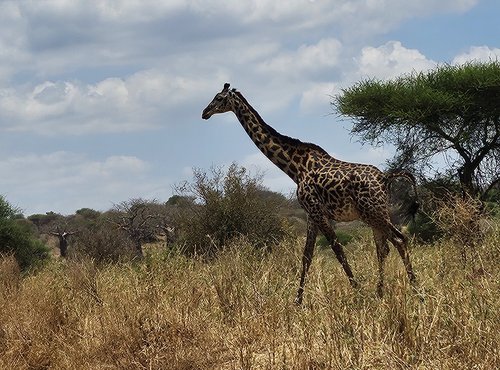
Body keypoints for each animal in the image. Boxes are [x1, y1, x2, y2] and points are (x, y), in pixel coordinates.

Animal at [202, 84, 418, 304]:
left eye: (219, 98)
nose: (204, 113)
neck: (295, 168)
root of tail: (385, 177)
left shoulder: (317, 211)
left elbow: (337, 249)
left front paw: (358, 292)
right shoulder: (311, 215)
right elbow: (307, 255)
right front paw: (297, 301)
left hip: (373, 212)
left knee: (398, 240)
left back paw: (417, 292)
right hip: (376, 213)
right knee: (384, 247)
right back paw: (382, 293)